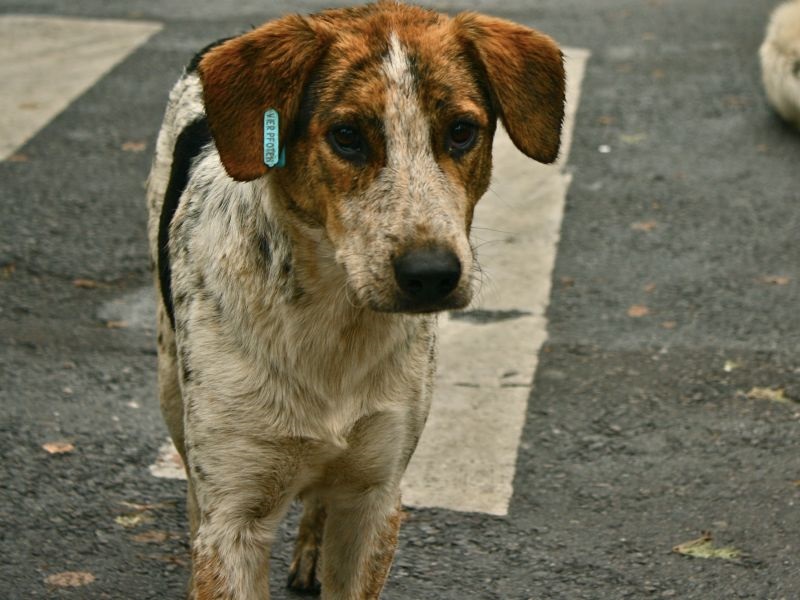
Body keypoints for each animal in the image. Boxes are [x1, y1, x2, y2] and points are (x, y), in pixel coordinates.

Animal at [147, 2, 564, 596]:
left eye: (461, 132)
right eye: (346, 136)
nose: (431, 274)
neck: (333, 322)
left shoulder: (375, 498)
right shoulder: (233, 515)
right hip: (169, 386)